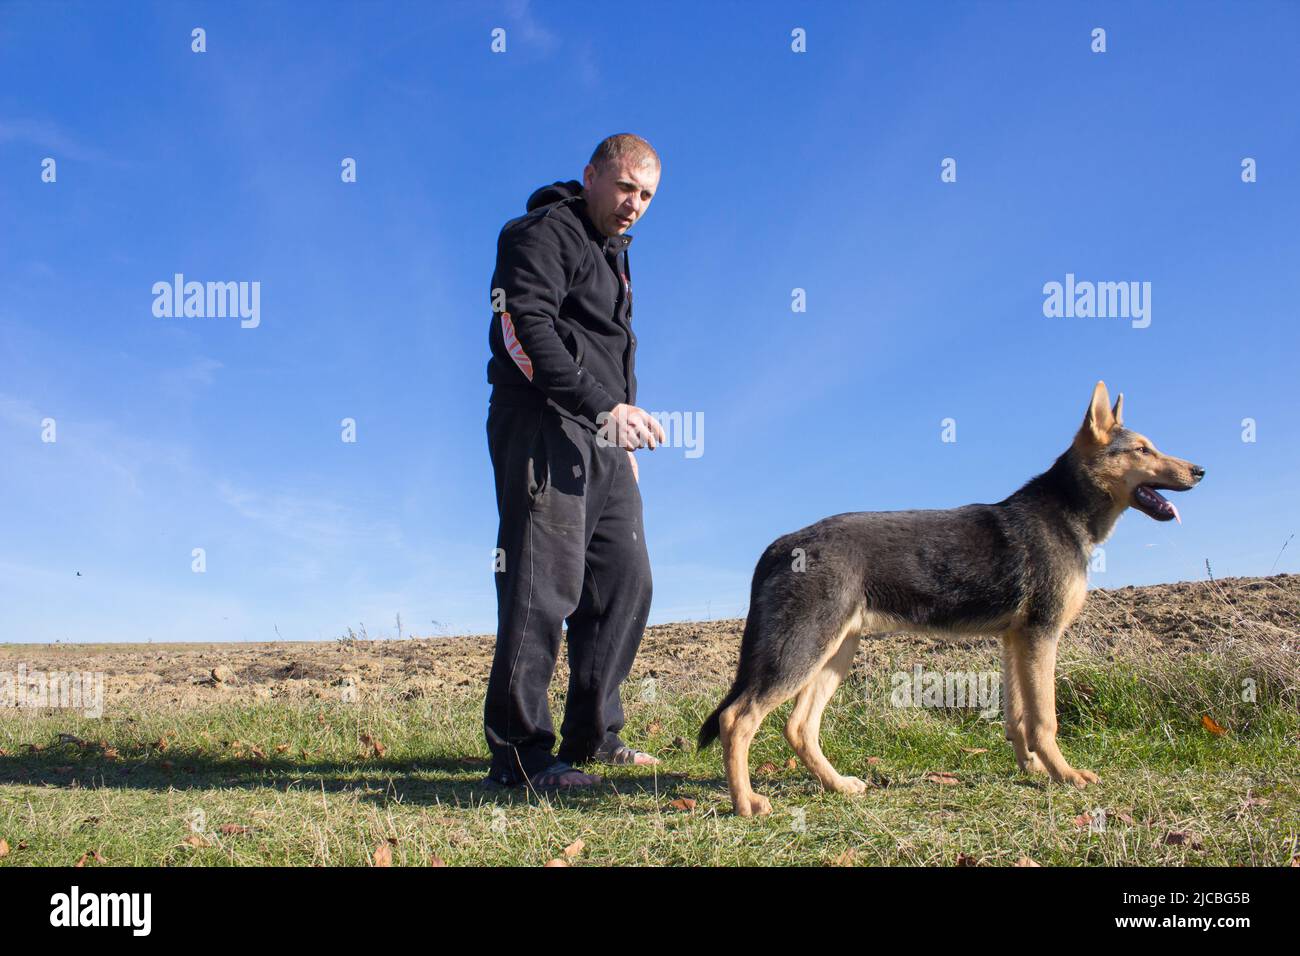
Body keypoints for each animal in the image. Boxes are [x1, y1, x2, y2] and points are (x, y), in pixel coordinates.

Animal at [702, 382, 1206, 816]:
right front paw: (1064, 775)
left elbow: (1018, 718)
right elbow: (1045, 719)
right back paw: (746, 804)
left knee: (799, 727)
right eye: (1143, 449)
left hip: (834, 653)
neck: (1066, 510)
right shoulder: (1041, 636)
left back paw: (838, 785)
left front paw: (1032, 769)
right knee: (737, 719)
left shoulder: (1016, 641)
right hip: (802, 650)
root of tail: (781, 544)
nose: (1201, 471)